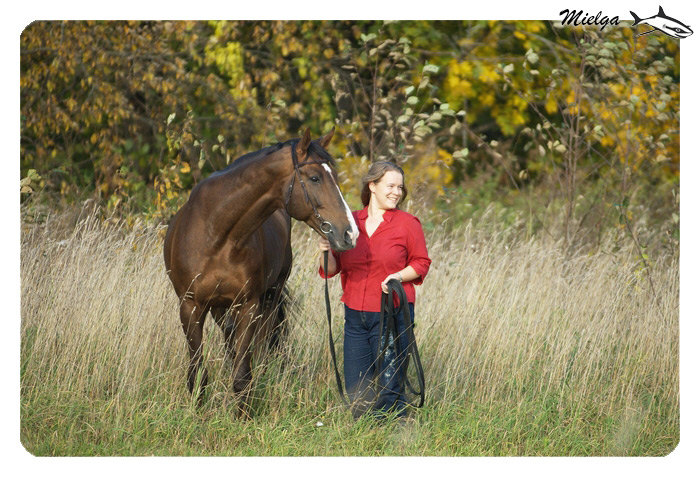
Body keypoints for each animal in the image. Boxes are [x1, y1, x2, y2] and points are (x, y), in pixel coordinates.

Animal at [164, 127, 358, 412]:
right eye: (314, 178)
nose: (350, 233)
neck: (216, 234)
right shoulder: (190, 306)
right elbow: (197, 374)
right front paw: (198, 415)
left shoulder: (250, 305)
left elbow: (243, 375)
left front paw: (242, 417)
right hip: (220, 308)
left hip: (270, 298)